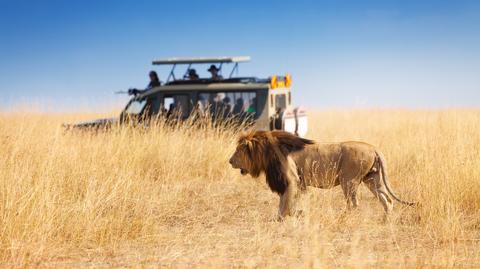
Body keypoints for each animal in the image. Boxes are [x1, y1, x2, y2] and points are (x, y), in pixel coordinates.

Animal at [229, 129, 416, 219]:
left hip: (348, 180)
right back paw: (385, 220)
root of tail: (373, 147)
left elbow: (285, 203)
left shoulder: (291, 180)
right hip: (372, 179)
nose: (230, 161)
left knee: (354, 204)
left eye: (238, 151)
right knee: (387, 200)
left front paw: (288, 216)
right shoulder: (295, 183)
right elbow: (286, 202)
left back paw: (344, 218)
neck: (265, 152)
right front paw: (292, 214)